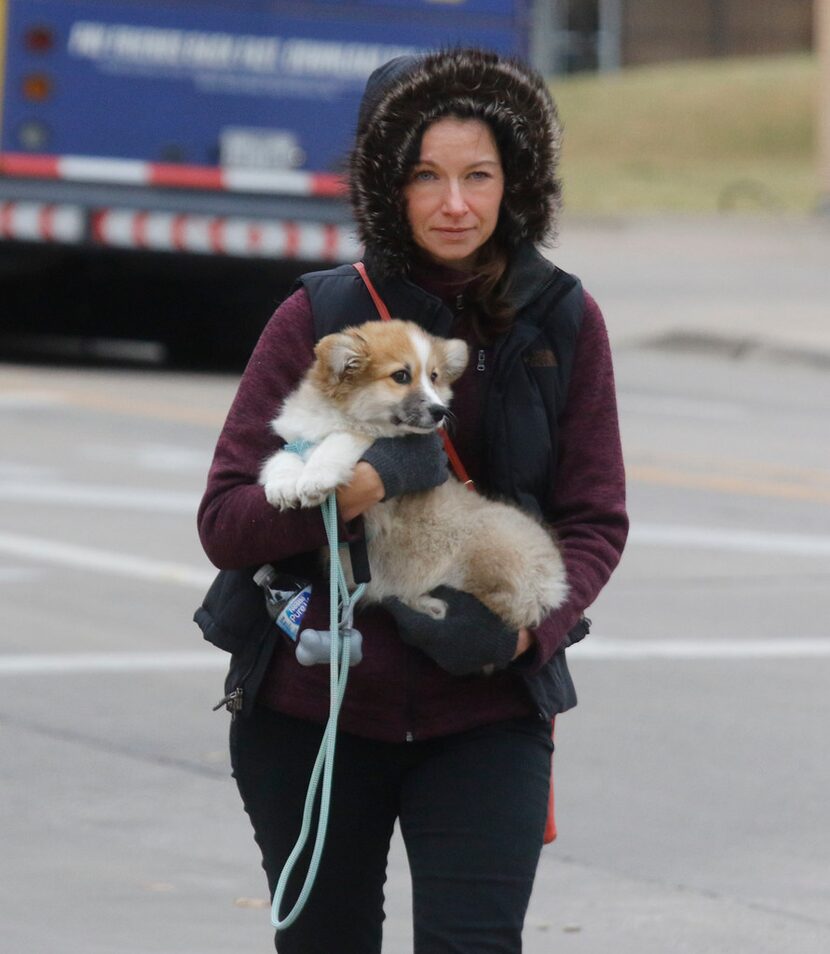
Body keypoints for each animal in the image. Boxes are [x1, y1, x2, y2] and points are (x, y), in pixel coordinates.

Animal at [262, 322, 572, 632]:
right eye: (401, 376)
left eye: (434, 377)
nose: (440, 411)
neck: (339, 415)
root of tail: (555, 584)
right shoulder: (296, 439)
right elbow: (281, 456)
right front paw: (282, 485)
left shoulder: (374, 481)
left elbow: (343, 438)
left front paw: (315, 477)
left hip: (486, 552)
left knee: (508, 605)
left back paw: (435, 607)